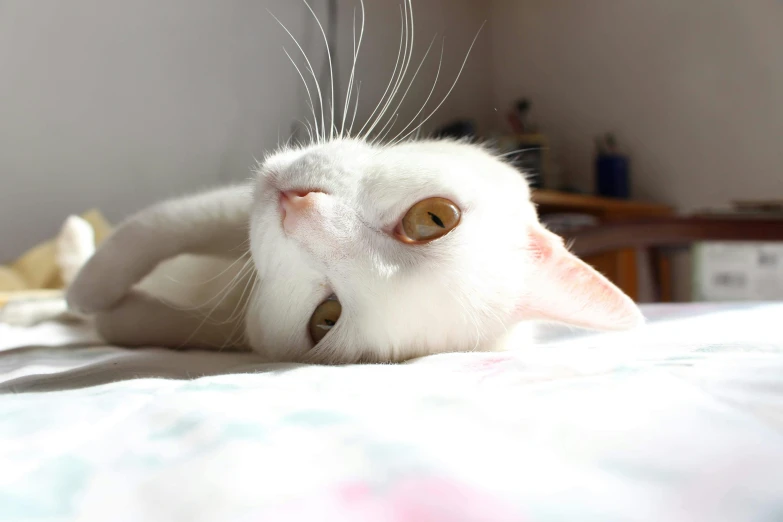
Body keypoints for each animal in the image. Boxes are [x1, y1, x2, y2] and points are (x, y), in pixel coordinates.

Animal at [67, 2, 644, 364]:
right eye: (433, 218)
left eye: (327, 317)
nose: (297, 206)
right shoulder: (236, 201)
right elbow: (164, 224)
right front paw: (92, 286)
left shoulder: (226, 326)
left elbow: (151, 324)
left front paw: (104, 312)